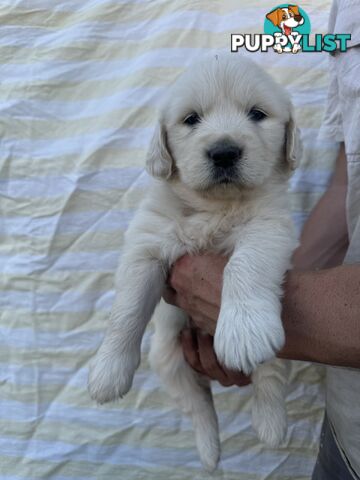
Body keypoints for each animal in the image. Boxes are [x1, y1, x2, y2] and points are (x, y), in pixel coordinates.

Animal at [88, 52, 302, 468]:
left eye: (257, 114)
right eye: (191, 119)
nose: (224, 152)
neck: (213, 207)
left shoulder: (269, 227)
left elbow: (244, 263)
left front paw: (242, 331)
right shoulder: (146, 245)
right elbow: (126, 309)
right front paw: (108, 371)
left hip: (278, 341)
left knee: (268, 378)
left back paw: (271, 424)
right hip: (168, 357)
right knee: (199, 405)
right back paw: (210, 453)